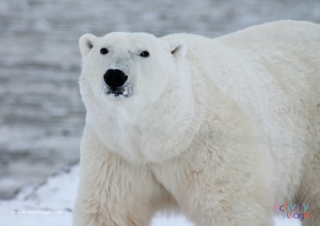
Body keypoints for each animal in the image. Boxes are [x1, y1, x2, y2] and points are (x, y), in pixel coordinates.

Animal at [74, 21, 320, 226]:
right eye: (103, 50)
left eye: (144, 52)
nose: (115, 76)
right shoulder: (118, 154)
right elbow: (110, 211)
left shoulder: (214, 148)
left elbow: (231, 209)